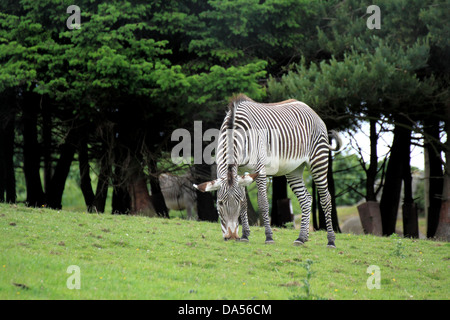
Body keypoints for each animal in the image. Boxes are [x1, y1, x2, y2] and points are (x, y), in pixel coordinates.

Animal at [193, 93, 342, 248]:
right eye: (220, 203)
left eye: (235, 203)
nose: (232, 237)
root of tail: (310, 108)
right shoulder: (240, 172)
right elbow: (246, 203)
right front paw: (245, 235)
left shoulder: (260, 168)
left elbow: (263, 203)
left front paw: (269, 237)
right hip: (294, 169)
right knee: (306, 199)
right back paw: (302, 238)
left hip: (318, 161)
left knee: (326, 199)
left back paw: (331, 240)